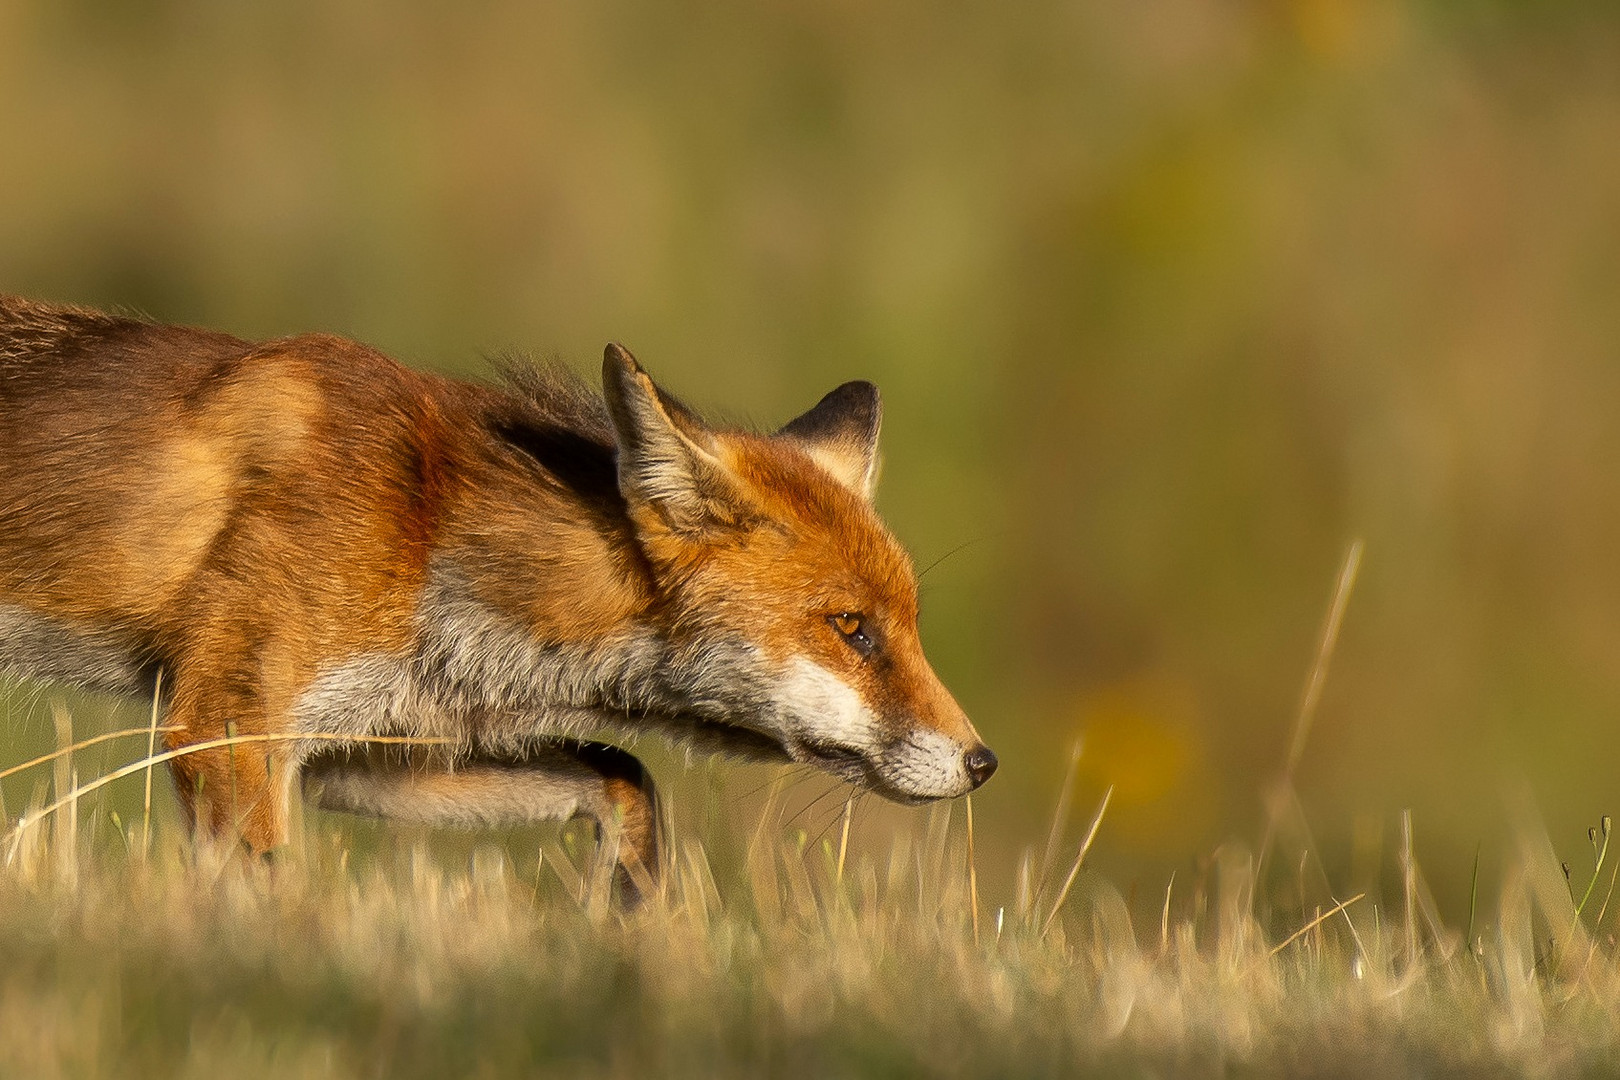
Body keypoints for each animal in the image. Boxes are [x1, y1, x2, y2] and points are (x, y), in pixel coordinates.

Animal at [0, 296, 991, 893]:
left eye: (907, 624)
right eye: (852, 628)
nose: (981, 762)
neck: (423, 530)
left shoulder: (360, 750)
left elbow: (624, 776)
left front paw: (631, 922)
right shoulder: (225, 723)